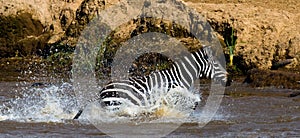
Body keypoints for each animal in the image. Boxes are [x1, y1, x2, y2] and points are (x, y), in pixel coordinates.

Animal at [73, 45, 230, 119]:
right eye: (217, 65)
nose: (230, 81)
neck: (177, 77)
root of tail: (102, 90)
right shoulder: (171, 94)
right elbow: (191, 102)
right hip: (115, 106)